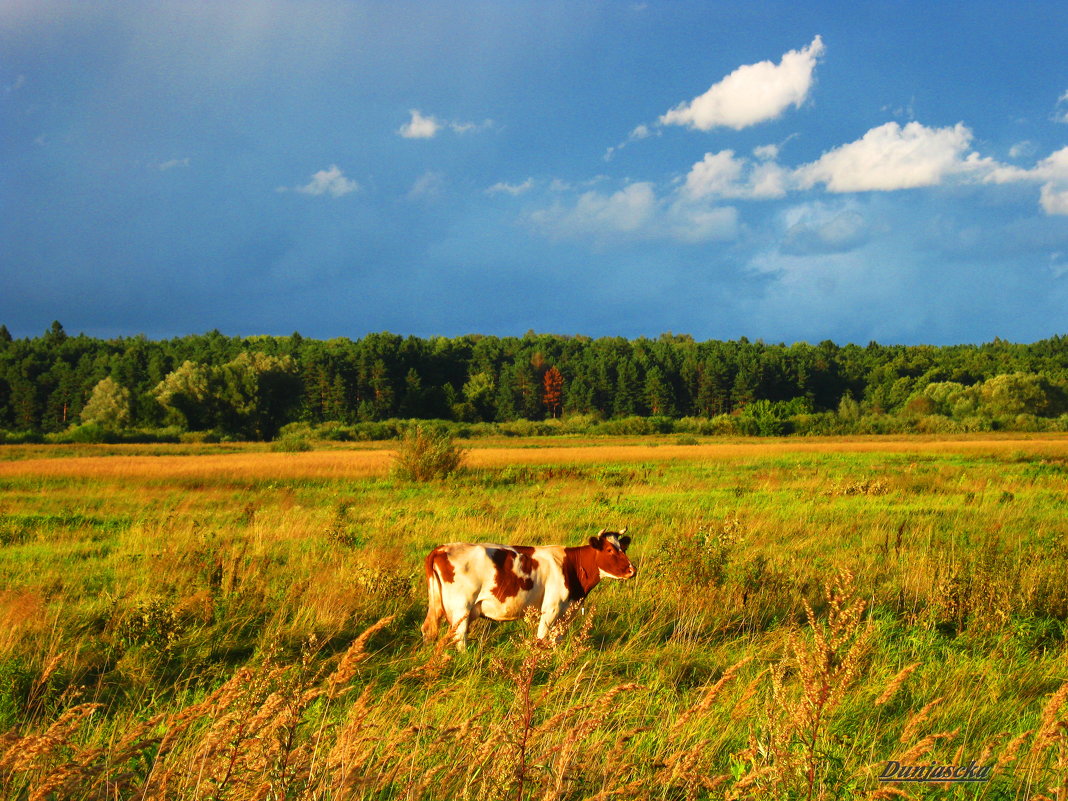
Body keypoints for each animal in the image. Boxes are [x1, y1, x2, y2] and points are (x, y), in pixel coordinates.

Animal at [418, 527, 636, 653]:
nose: (632, 570)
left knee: (428, 629)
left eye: (623, 548)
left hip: (440, 605)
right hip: (460, 608)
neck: (571, 566)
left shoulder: (566, 611)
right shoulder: (551, 608)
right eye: (609, 550)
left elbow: (557, 639)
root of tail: (441, 549)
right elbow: (542, 637)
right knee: (460, 636)